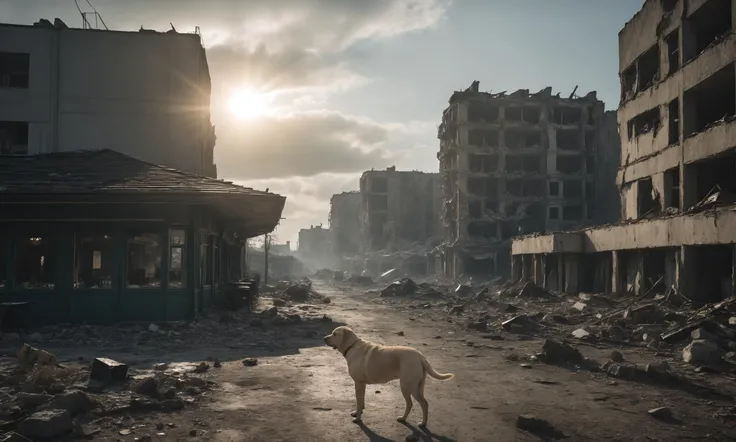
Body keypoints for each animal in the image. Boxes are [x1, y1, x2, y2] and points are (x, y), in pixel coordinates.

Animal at [324, 326, 454, 426]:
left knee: (417, 403)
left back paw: (415, 421)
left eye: (334, 334)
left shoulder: (358, 383)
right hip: (419, 386)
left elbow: (358, 400)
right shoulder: (362, 384)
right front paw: (358, 412)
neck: (352, 346)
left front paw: (358, 418)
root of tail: (420, 356)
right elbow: (361, 400)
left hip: (407, 386)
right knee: (422, 403)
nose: (324, 338)